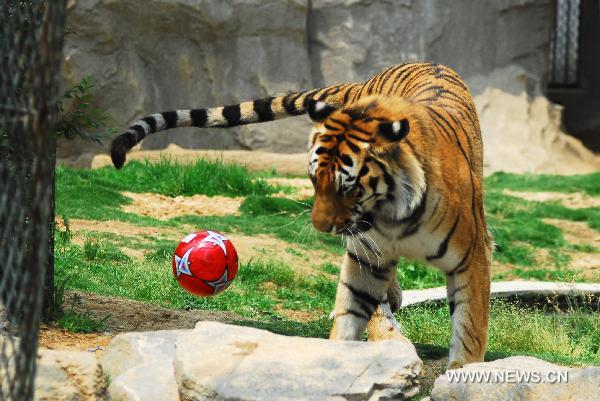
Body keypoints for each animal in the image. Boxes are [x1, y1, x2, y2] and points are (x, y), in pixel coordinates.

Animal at [111, 62, 492, 368]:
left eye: (348, 187)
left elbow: (469, 328)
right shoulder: (366, 254)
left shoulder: (472, 257)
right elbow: (352, 308)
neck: (393, 217)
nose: (322, 227)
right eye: (313, 180)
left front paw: (460, 377)